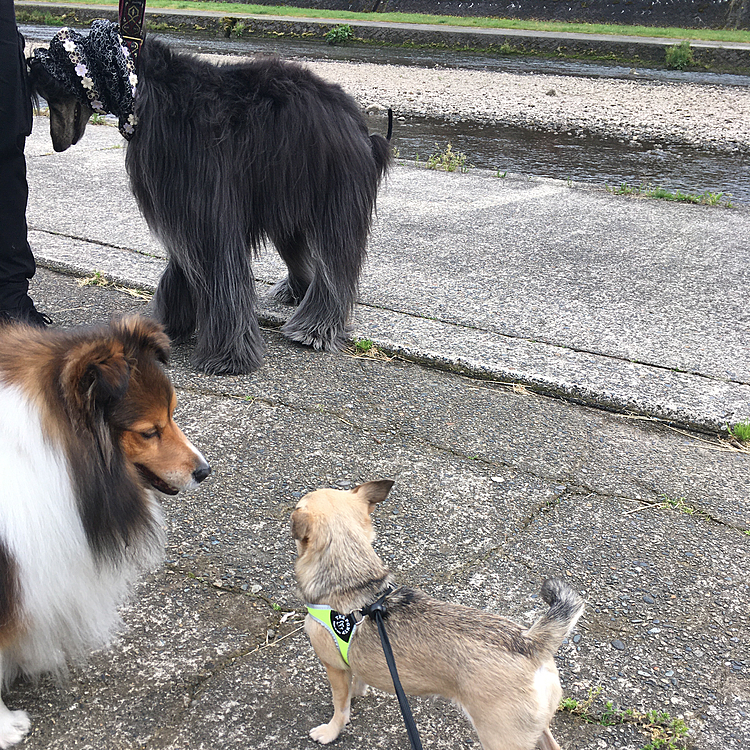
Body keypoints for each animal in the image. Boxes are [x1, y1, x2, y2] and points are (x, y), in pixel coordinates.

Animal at [29, 23, 394, 376]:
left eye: (52, 91)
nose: (56, 145)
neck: (142, 87)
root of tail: (363, 129)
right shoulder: (183, 208)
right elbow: (181, 270)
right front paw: (167, 326)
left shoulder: (207, 207)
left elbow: (221, 276)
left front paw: (229, 357)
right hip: (285, 196)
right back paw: (295, 293)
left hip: (334, 197)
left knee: (335, 268)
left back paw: (314, 328)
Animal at [294, 482, 588, 750]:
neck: (354, 580)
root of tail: (531, 644)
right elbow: (359, 678)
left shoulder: (334, 669)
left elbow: (340, 706)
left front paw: (331, 730)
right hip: (534, 729)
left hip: (501, 738)